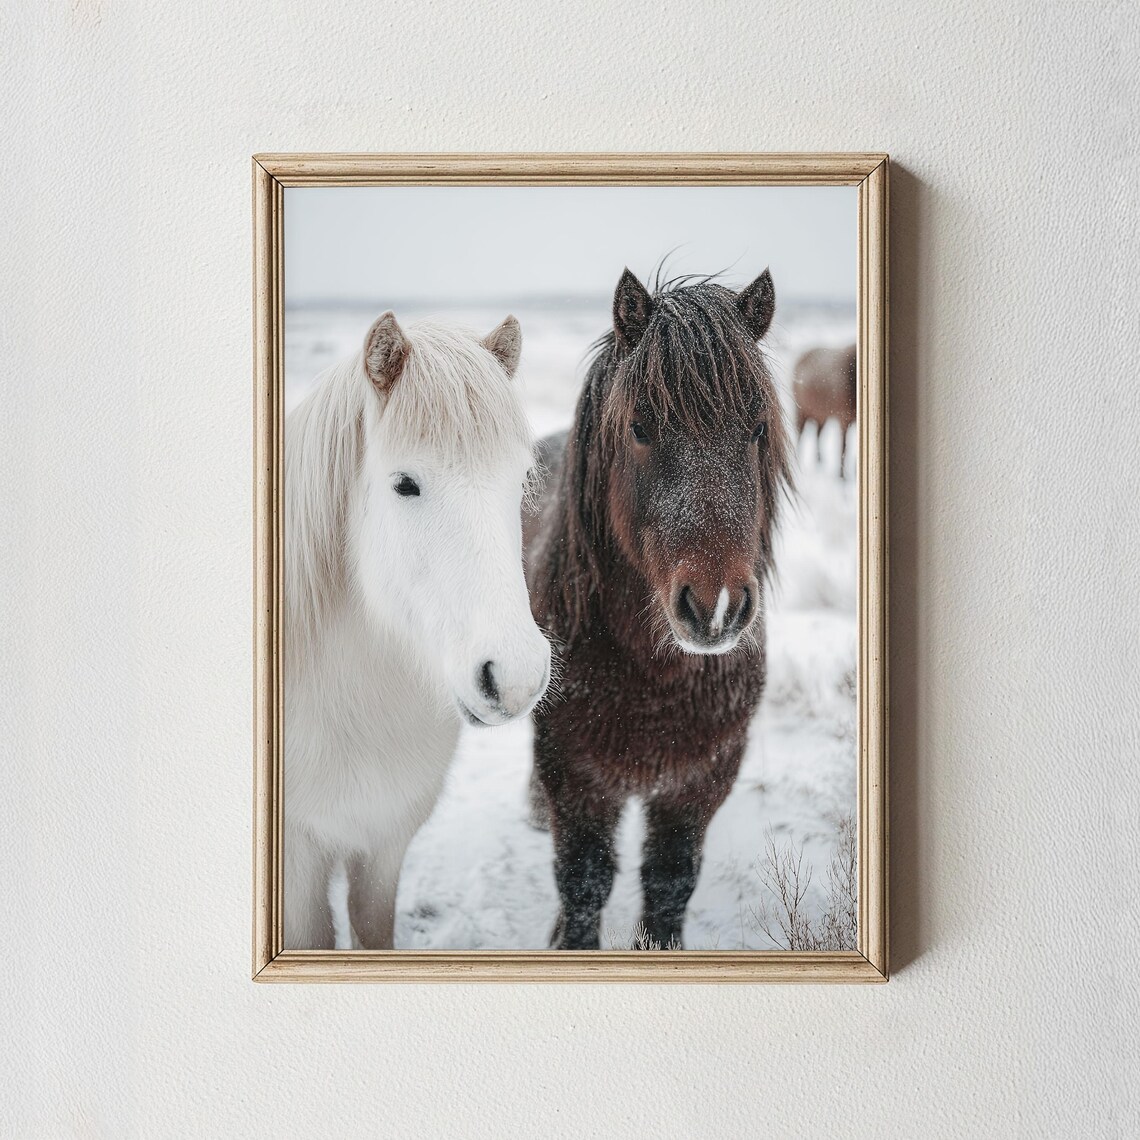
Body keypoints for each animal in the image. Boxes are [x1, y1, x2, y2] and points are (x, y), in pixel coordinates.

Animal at [524, 268, 792, 950]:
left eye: (757, 428)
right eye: (640, 428)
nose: (716, 607)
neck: (655, 679)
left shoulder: (702, 778)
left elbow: (671, 880)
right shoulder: (576, 778)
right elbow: (584, 881)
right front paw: (568, 939)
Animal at [792, 343, 857, 478]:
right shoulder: (843, 418)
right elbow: (844, 446)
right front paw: (841, 475)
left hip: (820, 414)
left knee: (818, 434)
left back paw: (819, 460)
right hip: (801, 411)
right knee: (800, 433)